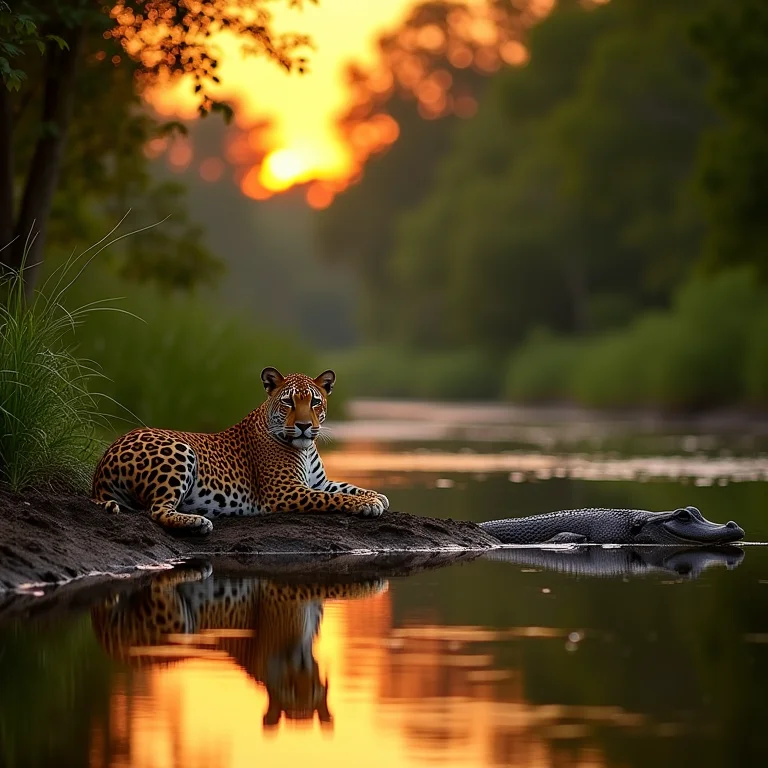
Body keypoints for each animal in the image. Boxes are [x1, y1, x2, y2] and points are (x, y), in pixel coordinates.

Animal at [91, 367, 389, 534]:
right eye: (288, 403)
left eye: (315, 402)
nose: (304, 426)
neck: (304, 448)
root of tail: (103, 460)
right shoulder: (285, 492)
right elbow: (333, 498)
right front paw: (366, 504)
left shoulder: (318, 482)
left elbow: (346, 486)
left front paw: (375, 495)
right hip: (179, 450)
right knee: (157, 510)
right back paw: (197, 523)